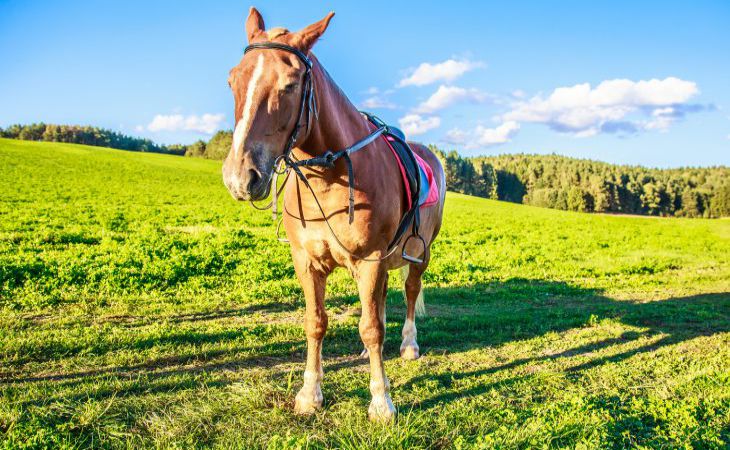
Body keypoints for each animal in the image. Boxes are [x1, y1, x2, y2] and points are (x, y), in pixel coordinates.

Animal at [220, 7, 444, 422]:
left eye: (290, 84)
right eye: (232, 80)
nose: (240, 177)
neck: (330, 179)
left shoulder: (371, 260)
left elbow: (371, 327)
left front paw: (381, 401)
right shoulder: (307, 261)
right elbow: (316, 323)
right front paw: (310, 394)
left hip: (419, 253)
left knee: (409, 291)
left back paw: (408, 344)